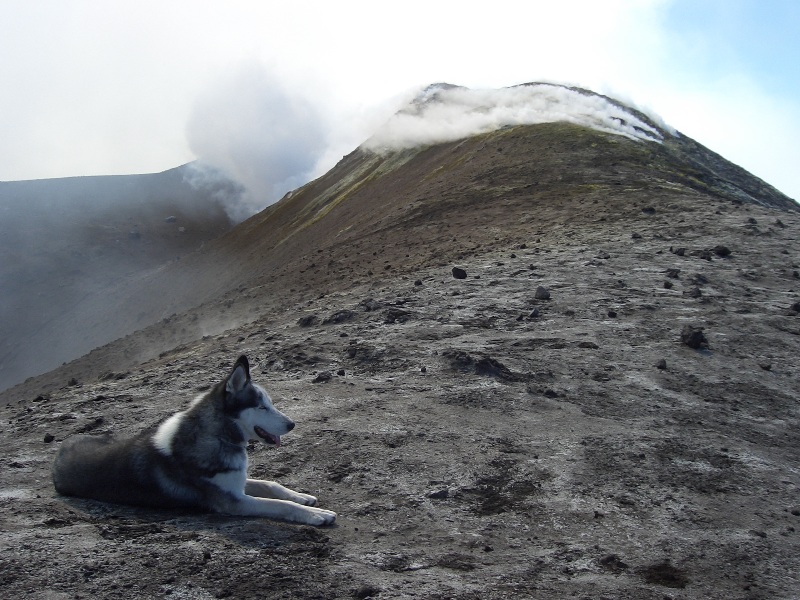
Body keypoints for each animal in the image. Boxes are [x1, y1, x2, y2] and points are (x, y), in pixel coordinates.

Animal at [51, 356, 334, 524]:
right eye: (261, 407)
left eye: (270, 403)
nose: (292, 424)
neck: (218, 436)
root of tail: (61, 448)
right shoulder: (232, 501)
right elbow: (279, 505)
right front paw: (315, 514)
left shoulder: (235, 481)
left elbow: (271, 484)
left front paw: (302, 497)